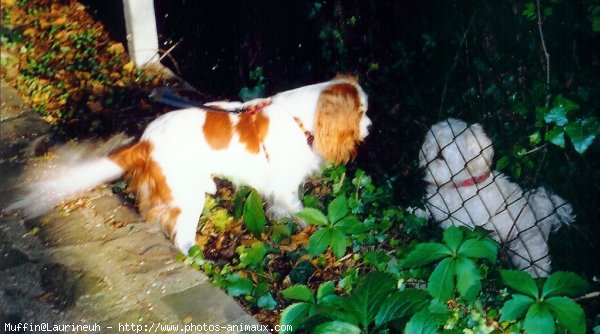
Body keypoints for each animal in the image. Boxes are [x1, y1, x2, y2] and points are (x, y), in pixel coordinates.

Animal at [5, 75, 370, 253]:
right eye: (362, 112)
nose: (370, 127)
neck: (300, 117)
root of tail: (145, 141)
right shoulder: (286, 185)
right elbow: (299, 210)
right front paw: (307, 231)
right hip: (187, 197)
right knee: (180, 238)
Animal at [420, 118, 576, 278]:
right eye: (427, 149)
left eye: (440, 155)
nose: (421, 170)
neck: (461, 186)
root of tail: (542, 210)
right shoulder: (434, 206)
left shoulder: (464, 227)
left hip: (530, 250)